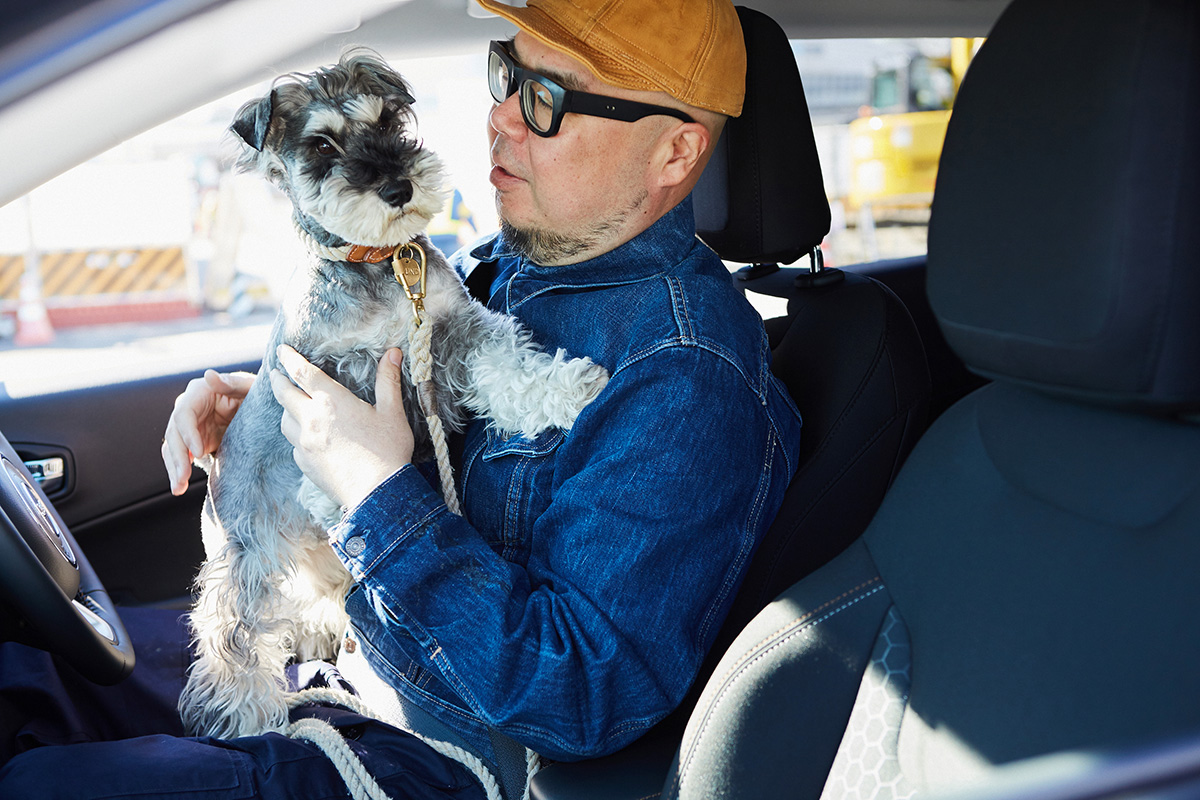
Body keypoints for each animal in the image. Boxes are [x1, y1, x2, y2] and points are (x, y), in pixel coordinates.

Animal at [178, 51, 609, 739]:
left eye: (387, 120)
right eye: (321, 146)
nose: (398, 188)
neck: (378, 263)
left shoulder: (450, 333)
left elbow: (510, 364)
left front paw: (570, 388)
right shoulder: (337, 371)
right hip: (247, 547)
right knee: (233, 627)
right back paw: (239, 708)